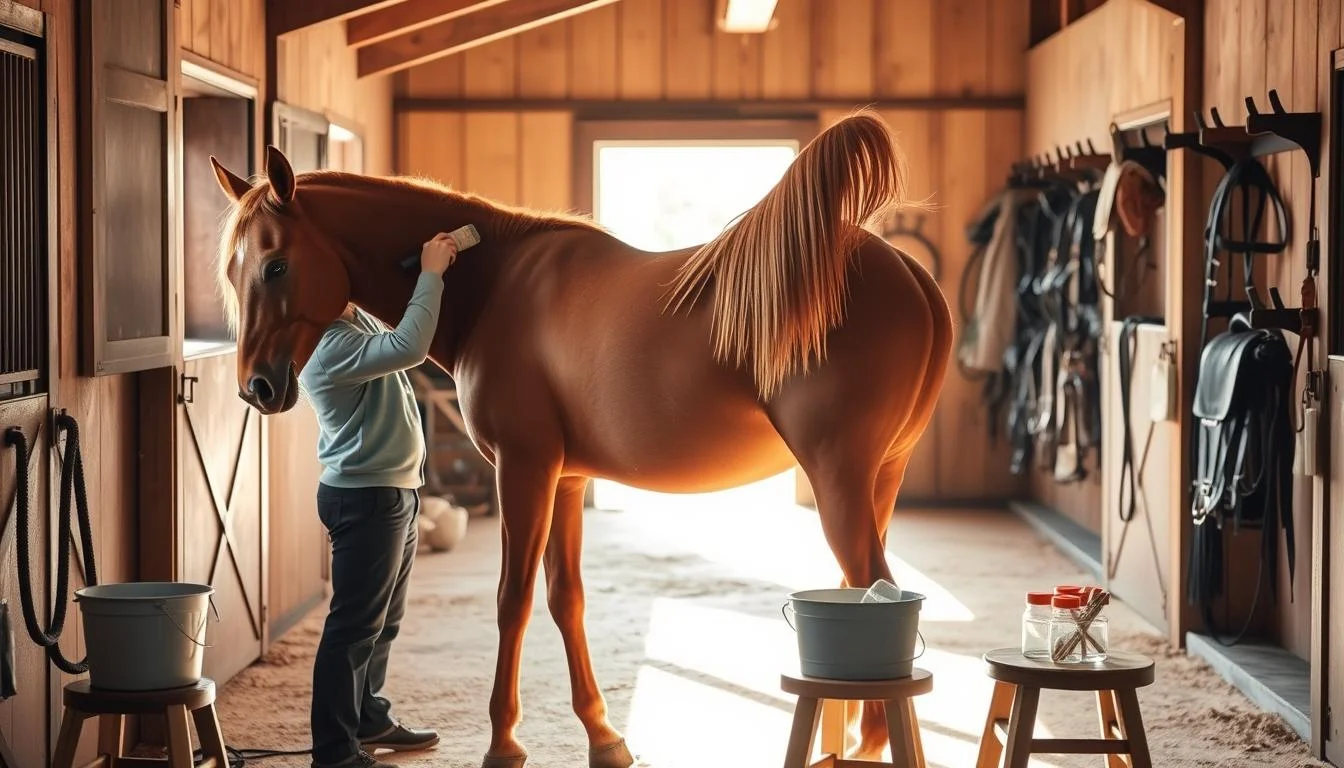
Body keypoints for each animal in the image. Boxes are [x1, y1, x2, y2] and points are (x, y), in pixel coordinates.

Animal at [210, 110, 953, 768]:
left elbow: (511, 600)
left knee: (880, 588)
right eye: (234, 271)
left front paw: (504, 744)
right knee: (863, 587)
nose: (257, 388)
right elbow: (566, 598)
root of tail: (910, 274)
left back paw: (871, 745)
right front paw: (604, 737)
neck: (495, 284)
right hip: (878, 479)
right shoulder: (565, 479)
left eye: (274, 266)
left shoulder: (524, 470)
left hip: (838, 481)